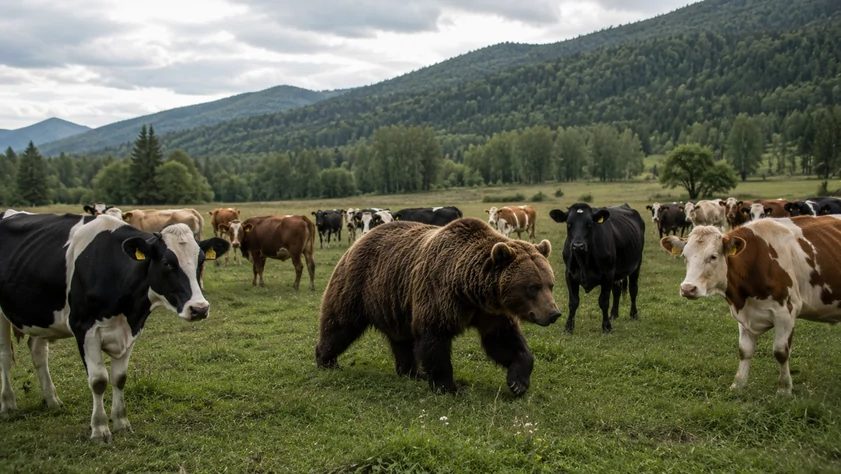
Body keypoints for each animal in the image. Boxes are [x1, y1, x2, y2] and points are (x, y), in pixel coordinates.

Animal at [315, 217, 561, 396]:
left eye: (550, 283)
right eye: (532, 287)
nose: (553, 313)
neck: (471, 291)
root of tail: (358, 241)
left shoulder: (490, 312)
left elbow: (503, 341)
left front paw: (518, 382)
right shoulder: (438, 295)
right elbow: (435, 339)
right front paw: (448, 386)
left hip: (395, 302)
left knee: (402, 341)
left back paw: (411, 372)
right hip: (358, 285)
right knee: (340, 325)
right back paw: (326, 360)